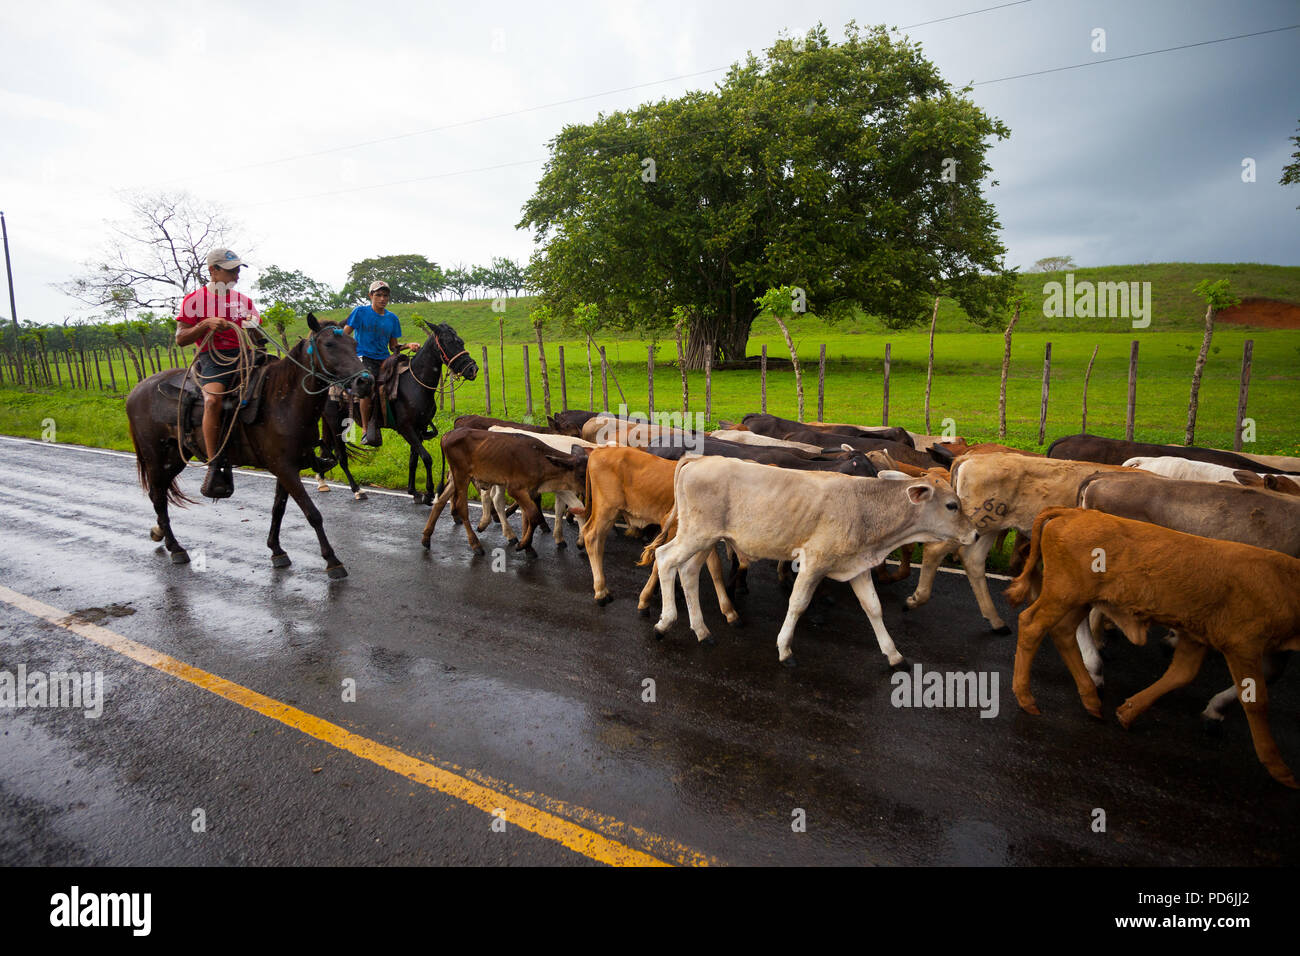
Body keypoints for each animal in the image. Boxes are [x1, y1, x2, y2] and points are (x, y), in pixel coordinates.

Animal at [126, 317, 374, 580]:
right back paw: (175, 547)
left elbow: (278, 509)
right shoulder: (285, 469)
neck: (283, 400)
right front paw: (332, 561)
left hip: (174, 458)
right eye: (329, 344)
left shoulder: (286, 468)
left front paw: (276, 550)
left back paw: (160, 532)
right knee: (158, 496)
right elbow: (312, 513)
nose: (365, 381)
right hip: (156, 457)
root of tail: (135, 391)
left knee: (159, 494)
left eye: (354, 343)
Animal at [374, 321, 475, 504]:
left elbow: (414, 459)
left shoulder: (419, 428)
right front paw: (429, 492)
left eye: (461, 341)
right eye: (449, 342)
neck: (416, 385)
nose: (473, 369)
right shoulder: (406, 428)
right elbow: (427, 458)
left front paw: (414, 491)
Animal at [644, 460, 972, 671]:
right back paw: (663, 623)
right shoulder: (814, 561)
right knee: (665, 558)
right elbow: (798, 604)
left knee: (688, 573)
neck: (864, 506)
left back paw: (702, 631)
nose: (974, 533)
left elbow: (873, 607)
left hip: (706, 539)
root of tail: (698, 460)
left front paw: (894, 655)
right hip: (695, 535)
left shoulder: (857, 565)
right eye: (952, 505)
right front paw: (785, 649)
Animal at [1003, 512, 1300, 790]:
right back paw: (1027, 698)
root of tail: (1072, 512)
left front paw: (1128, 712)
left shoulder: (1197, 637)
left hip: (1080, 600)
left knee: (1063, 633)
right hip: (1063, 595)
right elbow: (1256, 700)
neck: (1285, 579)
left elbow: (1181, 674)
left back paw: (1092, 700)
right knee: (1031, 625)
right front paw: (1280, 769)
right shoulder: (1242, 645)